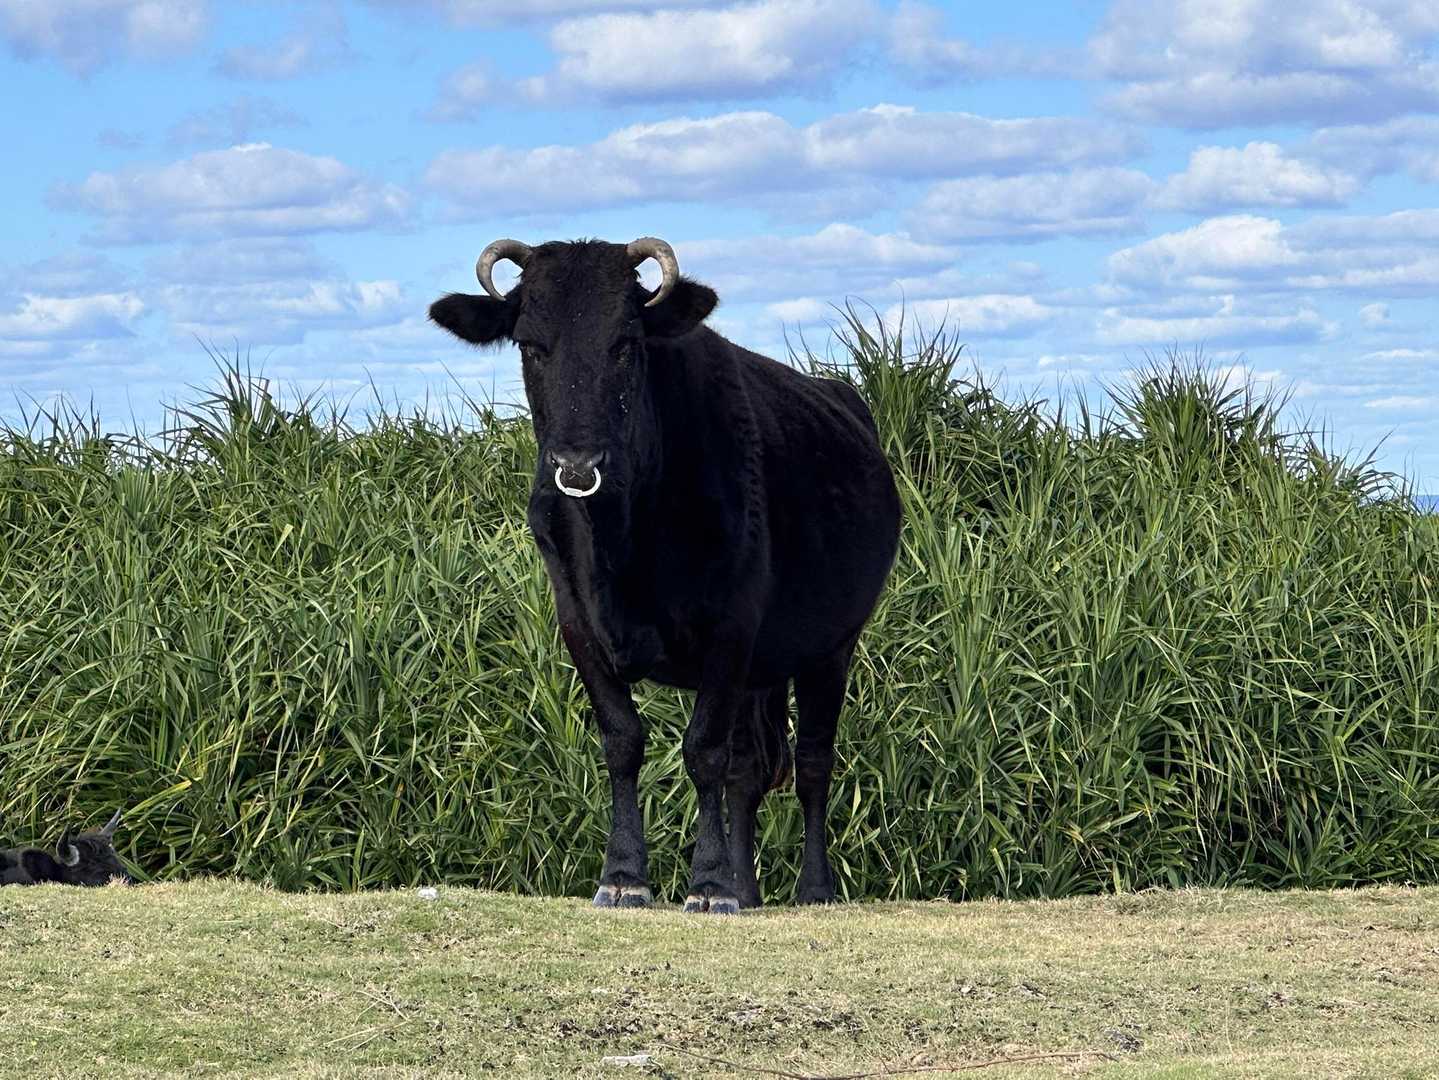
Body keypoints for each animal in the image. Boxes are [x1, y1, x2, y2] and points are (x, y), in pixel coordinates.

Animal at [430, 237, 900, 913]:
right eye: (529, 344)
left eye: (626, 343)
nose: (578, 463)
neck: (622, 542)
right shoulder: (578, 623)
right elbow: (625, 741)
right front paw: (625, 875)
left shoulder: (731, 628)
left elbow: (703, 752)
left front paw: (707, 884)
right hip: (764, 670)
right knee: (749, 768)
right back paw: (747, 890)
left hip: (831, 646)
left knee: (811, 763)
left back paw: (813, 888)